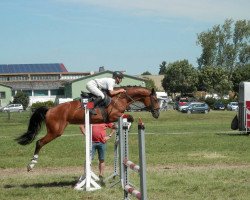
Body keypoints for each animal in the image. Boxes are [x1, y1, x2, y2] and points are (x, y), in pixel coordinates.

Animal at [15, 86, 160, 170]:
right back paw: (31, 164)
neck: (120, 98)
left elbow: (128, 118)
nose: (157, 114)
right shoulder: (114, 115)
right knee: (39, 142)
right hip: (55, 131)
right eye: (155, 99)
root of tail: (50, 109)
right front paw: (127, 126)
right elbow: (130, 117)